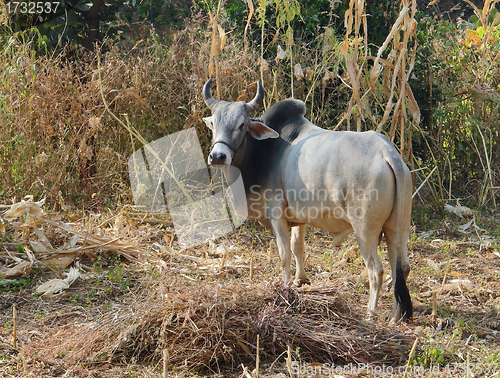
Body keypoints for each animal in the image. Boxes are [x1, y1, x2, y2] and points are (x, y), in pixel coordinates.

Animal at [201, 78, 412, 320]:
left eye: (241, 125)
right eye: (214, 124)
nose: (218, 156)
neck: (265, 150)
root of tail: (387, 153)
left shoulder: (276, 213)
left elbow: (284, 254)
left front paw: (284, 288)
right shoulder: (298, 218)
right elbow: (297, 247)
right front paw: (300, 280)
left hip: (364, 230)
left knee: (376, 270)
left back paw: (370, 314)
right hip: (398, 227)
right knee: (402, 267)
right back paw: (395, 317)